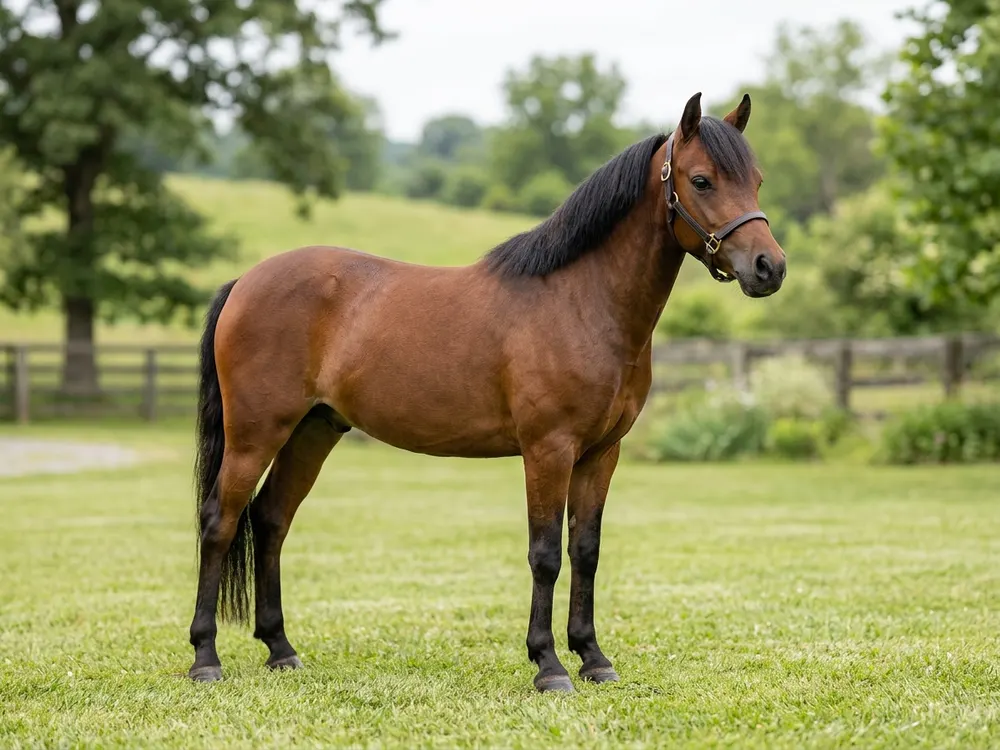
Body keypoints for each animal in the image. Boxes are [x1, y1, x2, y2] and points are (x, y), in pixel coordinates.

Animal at [187, 91, 786, 692]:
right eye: (702, 180)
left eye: (758, 181)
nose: (770, 267)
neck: (581, 302)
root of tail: (243, 283)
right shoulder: (548, 450)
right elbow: (545, 554)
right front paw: (548, 665)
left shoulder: (600, 454)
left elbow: (585, 551)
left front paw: (593, 657)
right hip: (255, 434)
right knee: (219, 521)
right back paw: (205, 657)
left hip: (313, 430)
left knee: (271, 519)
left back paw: (280, 648)